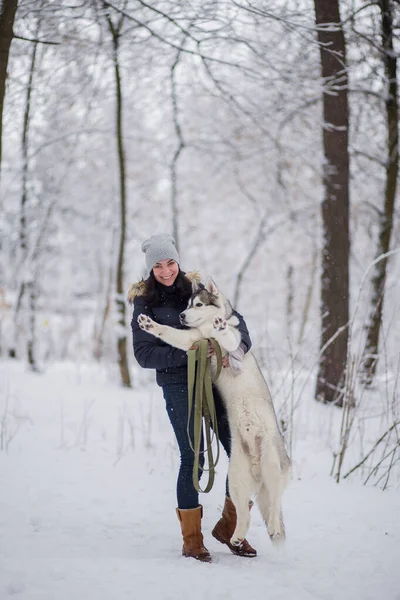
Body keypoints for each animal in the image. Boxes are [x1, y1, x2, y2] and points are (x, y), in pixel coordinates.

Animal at [138, 278, 290, 548]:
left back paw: (272, 526)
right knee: (244, 512)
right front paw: (149, 325)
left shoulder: (233, 343)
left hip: (272, 464)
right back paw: (237, 536)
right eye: (187, 304)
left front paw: (221, 327)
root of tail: (256, 466)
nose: (182, 315)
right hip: (237, 477)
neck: (207, 331)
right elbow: (170, 333)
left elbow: (229, 336)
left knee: (275, 501)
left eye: (198, 304)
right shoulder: (193, 340)